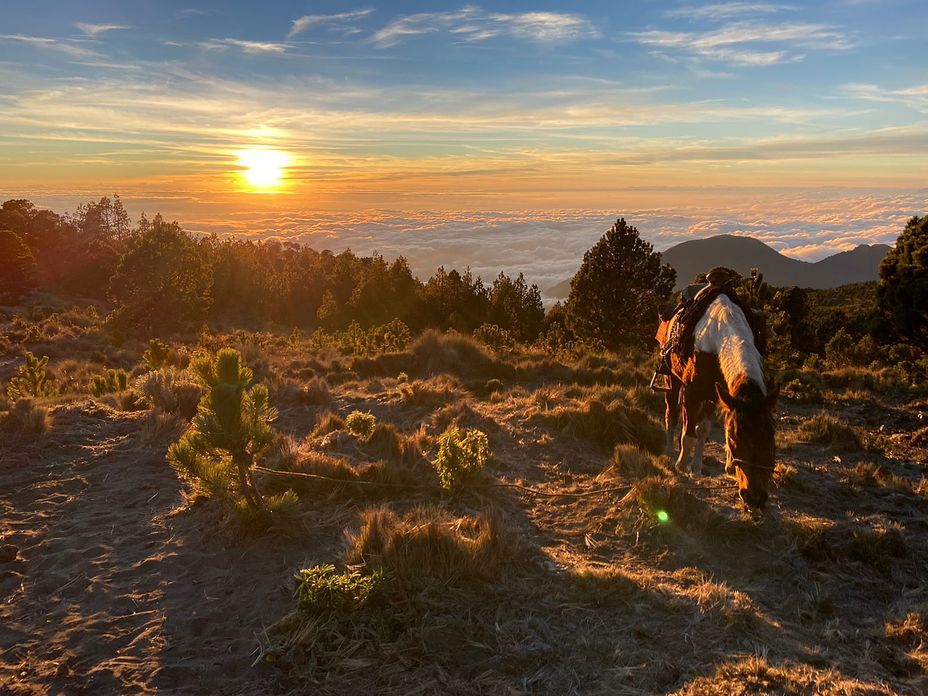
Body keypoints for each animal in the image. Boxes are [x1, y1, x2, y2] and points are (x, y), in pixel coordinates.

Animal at [656, 290, 780, 508]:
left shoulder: (714, 395)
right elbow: (688, 435)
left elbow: (703, 430)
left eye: (771, 438)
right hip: (671, 378)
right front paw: (681, 465)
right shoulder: (692, 393)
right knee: (671, 414)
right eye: (734, 440)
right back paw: (670, 452)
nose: (754, 499)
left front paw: (696, 468)